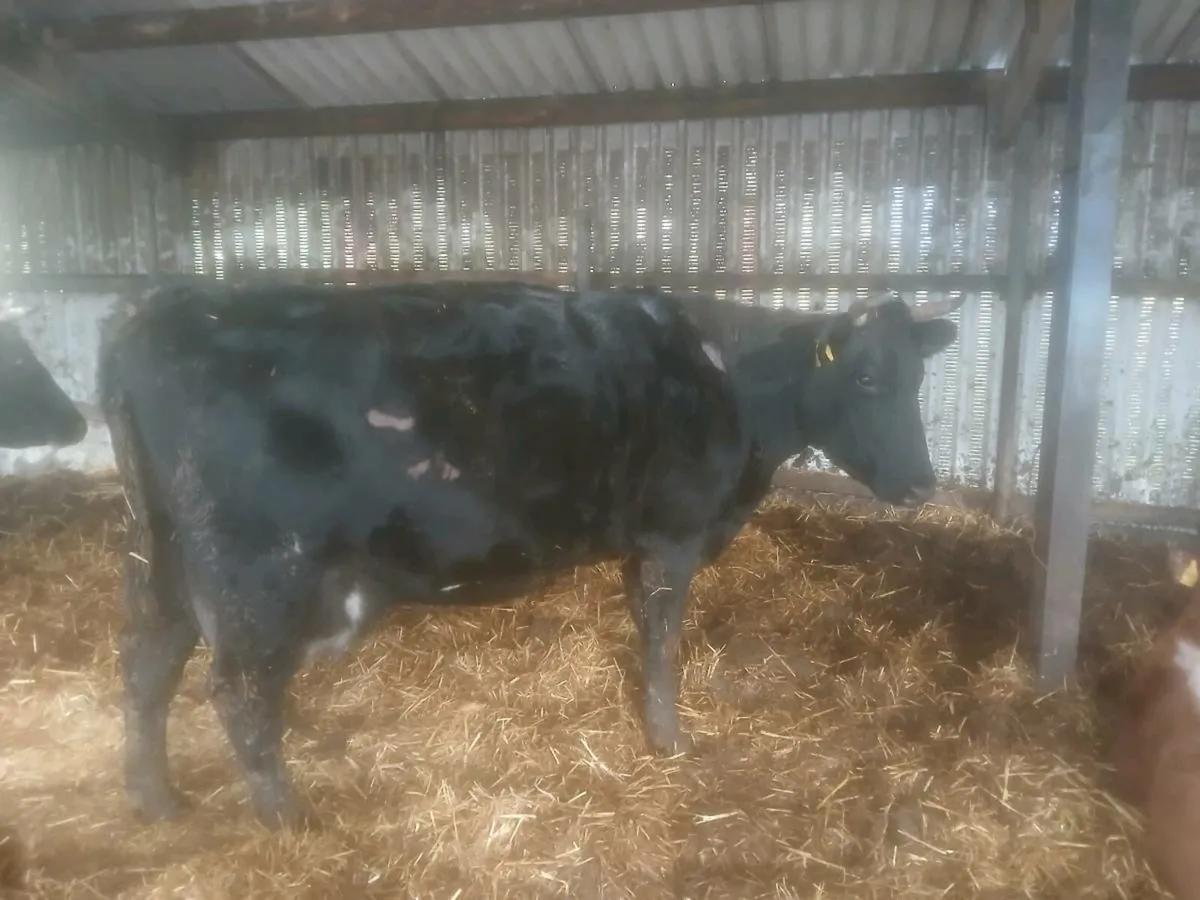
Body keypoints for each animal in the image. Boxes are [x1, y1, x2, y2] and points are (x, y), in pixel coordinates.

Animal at [97, 279, 962, 828]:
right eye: (866, 376)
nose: (923, 483)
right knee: (239, 689)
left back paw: (155, 800)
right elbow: (661, 640)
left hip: (161, 550)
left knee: (148, 663)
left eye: (919, 377)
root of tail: (160, 304)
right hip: (260, 566)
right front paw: (668, 738)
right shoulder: (674, 534)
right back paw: (287, 819)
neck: (731, 383)